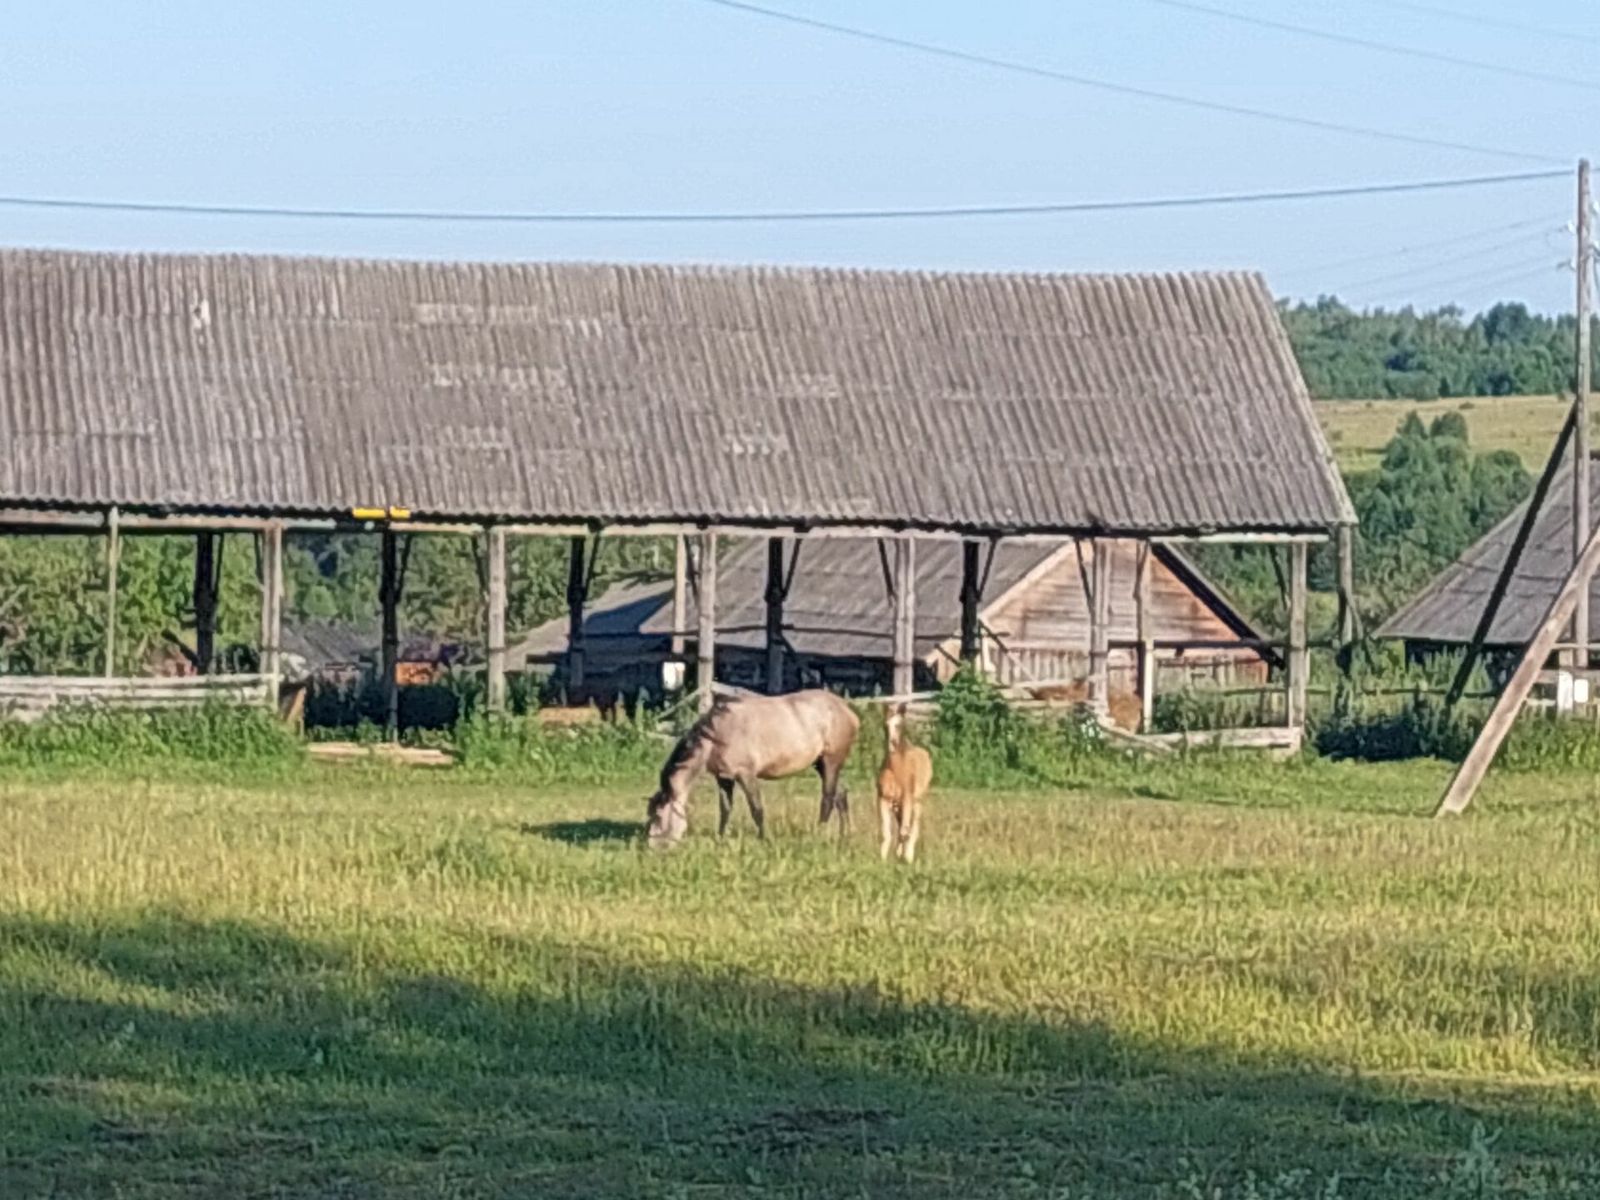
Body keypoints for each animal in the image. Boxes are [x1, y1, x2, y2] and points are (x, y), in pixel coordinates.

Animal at [645, 690, 859, 847]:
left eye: (658, 816)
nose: (651, 847)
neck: (717, 736)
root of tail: (848, 711)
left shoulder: (745, 774)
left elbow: (756, 808)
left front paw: (764, 839)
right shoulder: (724, 777)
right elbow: (725, 809)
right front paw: (720, 838)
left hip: (831, 761)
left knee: (828, 798)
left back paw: (818, 833)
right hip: (821, 764)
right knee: (841, 795)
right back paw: (845, 835)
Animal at [875, 702, 932, 863]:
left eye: (899, 725)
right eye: (885, 725)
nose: (892, 745)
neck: (897, 771)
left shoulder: (907, 799)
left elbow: (904, 831)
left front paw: (904, 859)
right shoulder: (884, 799)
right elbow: (886, 833)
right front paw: (883, 860)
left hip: (917, 802)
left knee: (913, 827)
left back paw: (908, 855)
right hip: (897, 805)